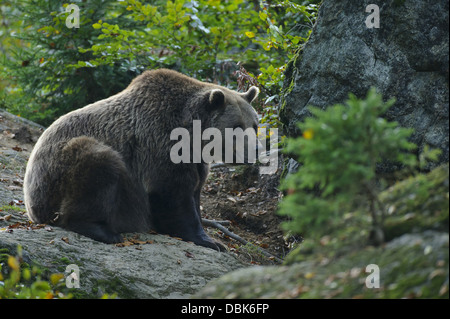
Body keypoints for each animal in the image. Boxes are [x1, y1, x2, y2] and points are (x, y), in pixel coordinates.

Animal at [22, 69, 258, 251]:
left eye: (254, 125)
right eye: (236, 126)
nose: (256, 150)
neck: (192, 134)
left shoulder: (196, 160)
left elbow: (194, 191)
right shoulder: (160, 145)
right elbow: (173, 194)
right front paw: (210, 241)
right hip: (58, 172)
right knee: (99, 165)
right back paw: (103, 231)